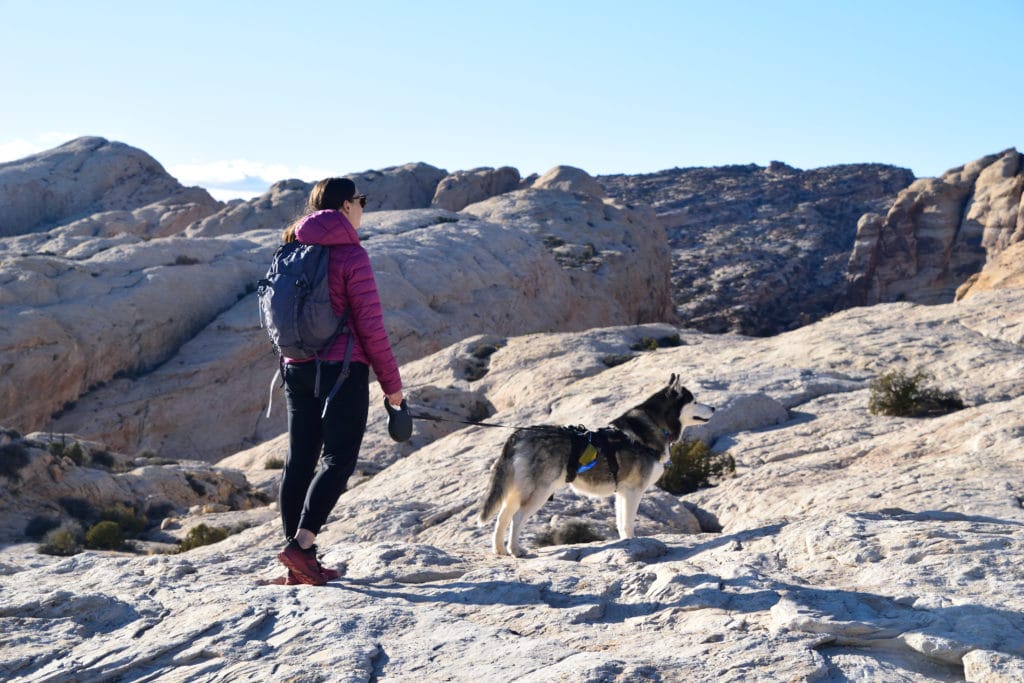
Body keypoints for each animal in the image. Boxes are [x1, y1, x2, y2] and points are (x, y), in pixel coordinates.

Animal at [477, 374, 712, 557]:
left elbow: (621, 522)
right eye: (694, 400)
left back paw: (499, 550)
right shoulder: (633, 491)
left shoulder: (623, 492)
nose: (714, 407)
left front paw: (626, 544)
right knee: (516, 517)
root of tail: (519, 434)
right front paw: (634, 543)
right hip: (540, 491)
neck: (653, 427)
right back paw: (516, 550)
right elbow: (628, 523)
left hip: (517, 489)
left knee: (502, 517)